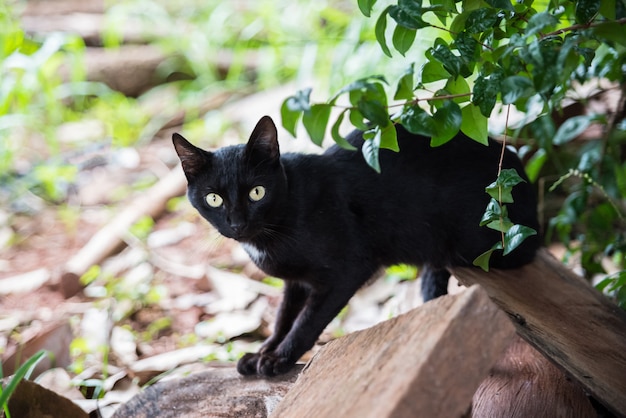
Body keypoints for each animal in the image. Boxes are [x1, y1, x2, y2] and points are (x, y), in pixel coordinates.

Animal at [171, 116, 536, 378]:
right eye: (213, 199)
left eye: (256, 192)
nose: (236, 222)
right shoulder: (296, 282)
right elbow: (283, 316)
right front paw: (264, 351)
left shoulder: (347, 269)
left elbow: (307, 321)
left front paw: (280, 359)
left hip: (485, 242)